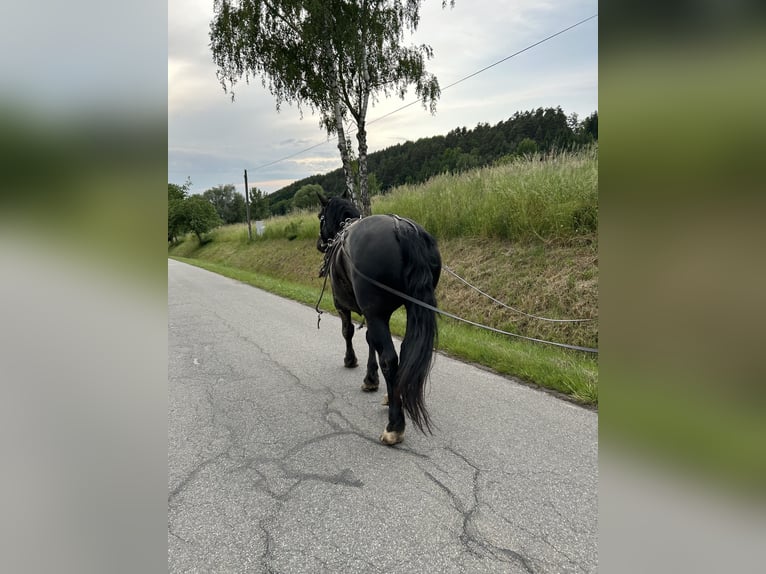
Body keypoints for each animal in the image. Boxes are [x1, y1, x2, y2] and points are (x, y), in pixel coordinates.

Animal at [316, 193, 442, 445]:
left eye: (319, 216)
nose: (319, 243)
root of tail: (402, 229)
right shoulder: (378, 314)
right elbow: (370, 340)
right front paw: (371, 378)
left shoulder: (348, 307)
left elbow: (348, 332)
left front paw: (352, 361)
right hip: (411, 307)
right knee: (404, 352)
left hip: (374, 314)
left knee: (390, 360)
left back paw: (395, 425)